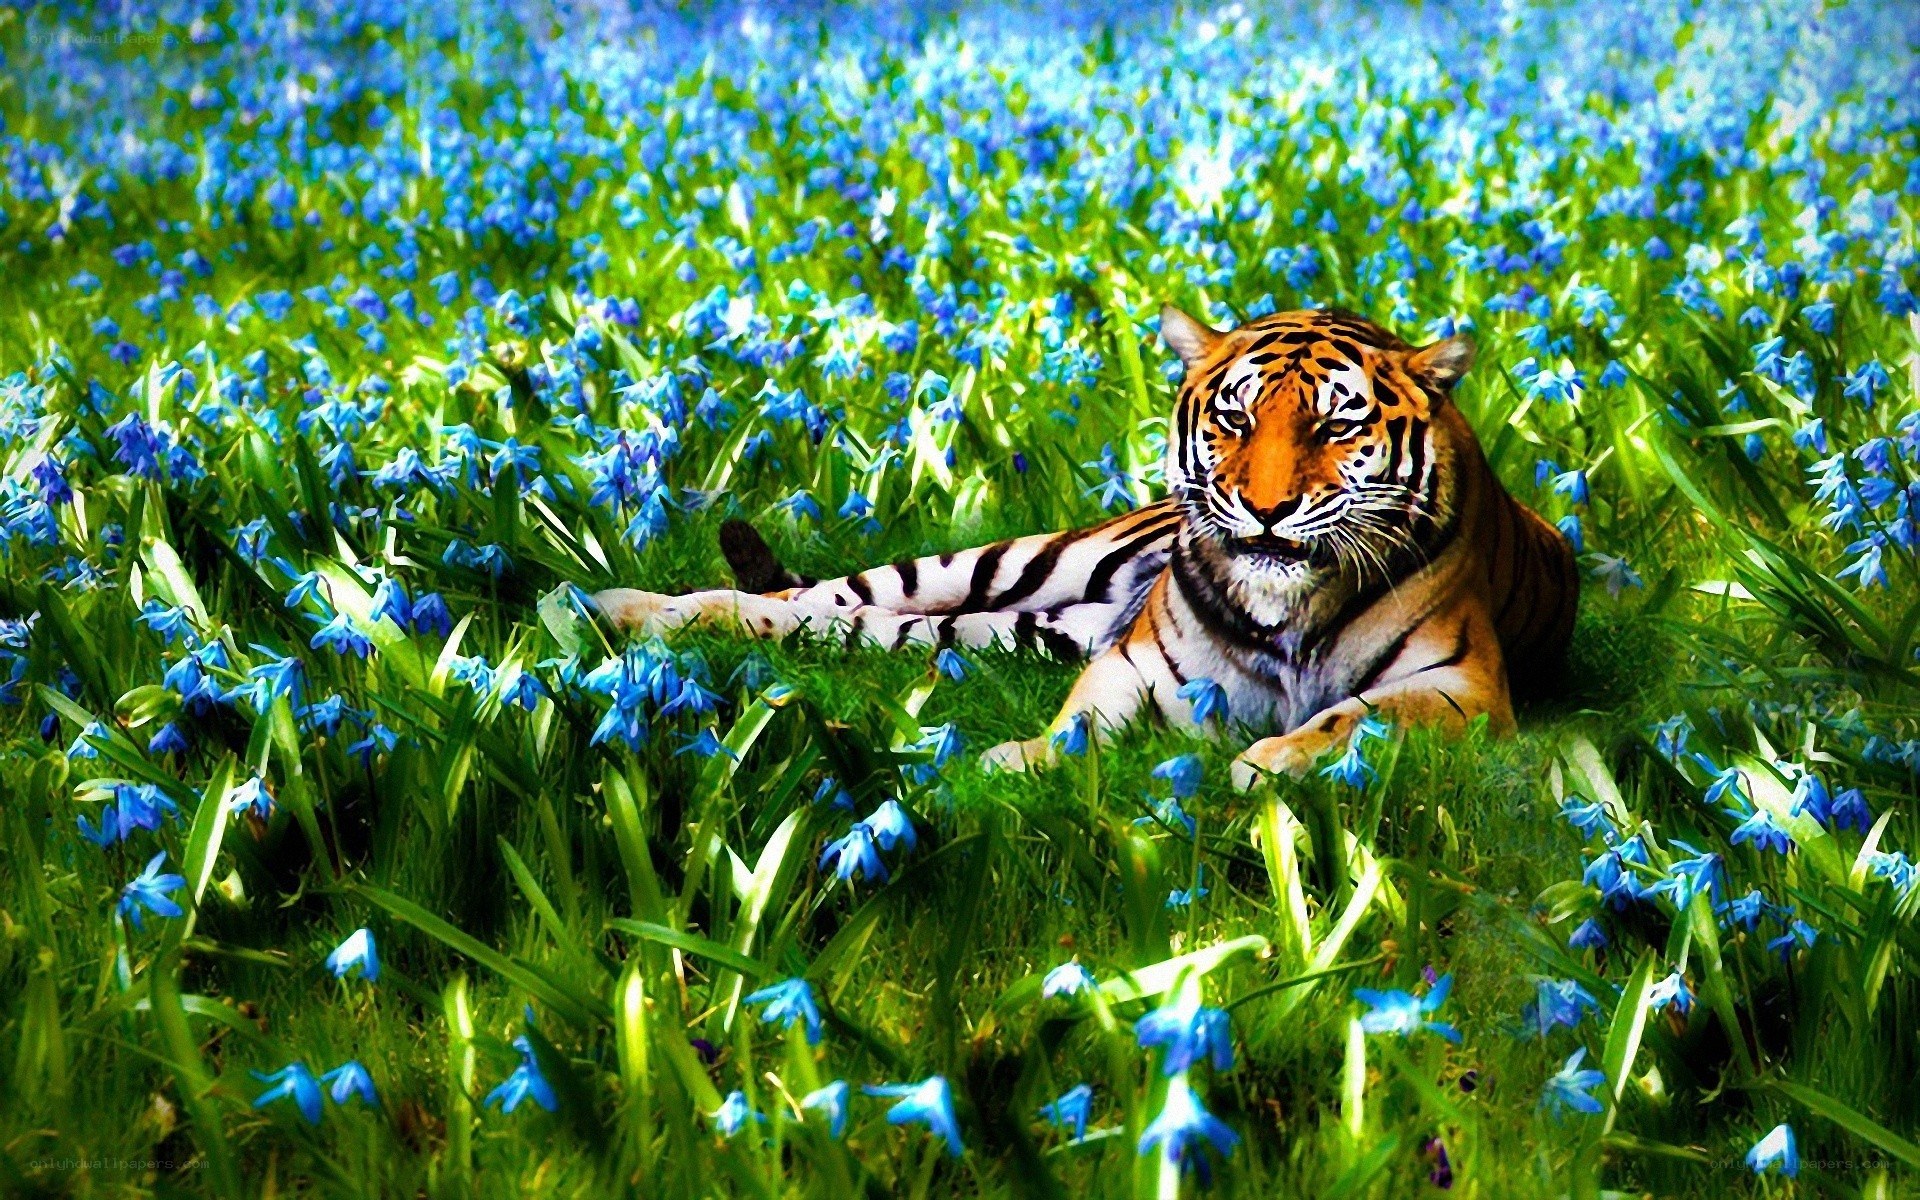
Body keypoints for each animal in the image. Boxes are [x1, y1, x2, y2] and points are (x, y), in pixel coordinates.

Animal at [592, 305, 1579, 788]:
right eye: (1236, 418)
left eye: (1337, 425)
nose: (1264, 510)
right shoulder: (1135, 662)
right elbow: (1077, 724)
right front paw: (1016, 763)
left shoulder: (1461, 686)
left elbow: (1351, 716)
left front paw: (1265, 765)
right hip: (1005, 564)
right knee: (817, 598)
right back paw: (628, 609)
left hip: (1015, 627)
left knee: (845, 626)